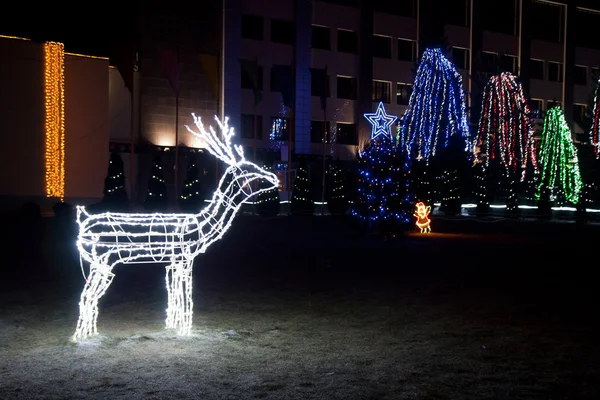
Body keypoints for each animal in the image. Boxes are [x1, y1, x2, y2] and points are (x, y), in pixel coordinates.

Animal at [72, 115, 278, 340]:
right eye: (249, 169)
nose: (275, 178)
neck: (200, 226)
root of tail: (82, 220)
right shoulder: (185, 258)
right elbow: (185, 296)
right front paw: (185, 331)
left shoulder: (171, 262)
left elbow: (173, 294)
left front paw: (172, 326)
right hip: (103, 262)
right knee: (87, 296)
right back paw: (81, 336)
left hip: (100, 265)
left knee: (89, 296)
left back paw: (91, 333)